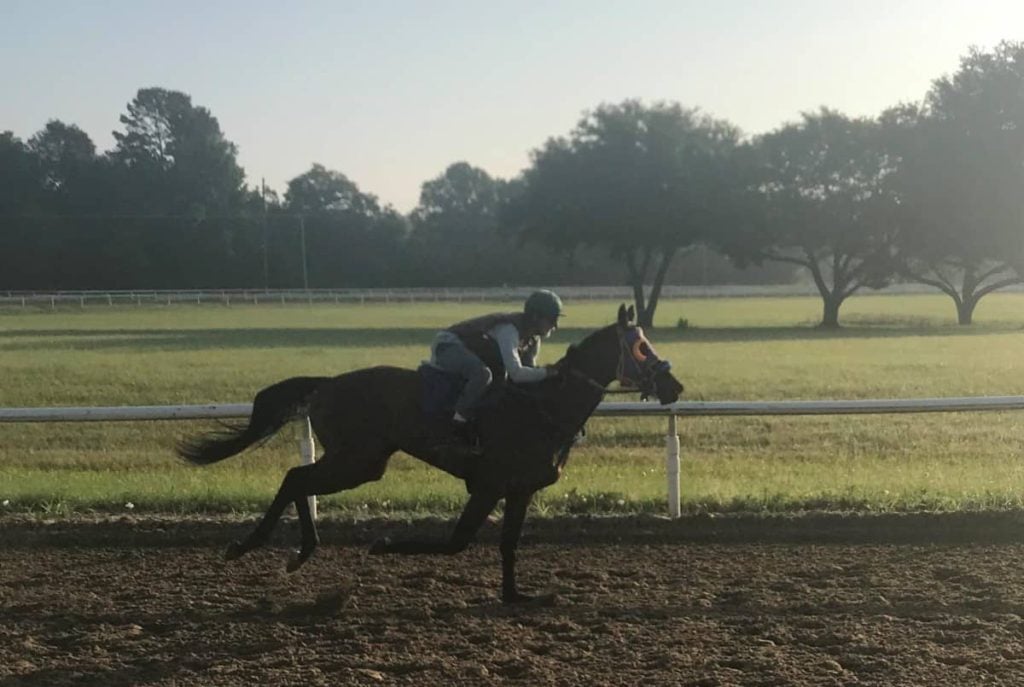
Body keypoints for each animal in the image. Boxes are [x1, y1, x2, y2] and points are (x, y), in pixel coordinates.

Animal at [180, 303, 684, 606]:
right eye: (641, 347)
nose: (675, 386)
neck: (544, 407)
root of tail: (327, 384)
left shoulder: (519, 489)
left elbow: (509, 544)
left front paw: (517, 596)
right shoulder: (488, 486)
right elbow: (456, 541)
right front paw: (385, 544)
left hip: (361, 461)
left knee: (298, 478)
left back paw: (299, 552)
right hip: (358, 460)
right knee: (295, 478)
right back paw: (255, 545)